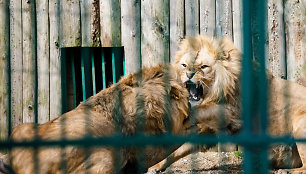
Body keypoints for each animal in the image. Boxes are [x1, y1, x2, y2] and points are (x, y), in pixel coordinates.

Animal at [148, 35, 306, 173]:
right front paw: (155, 166)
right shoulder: (208, 130)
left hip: (299, 123)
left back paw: (286, 170)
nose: (188, 74)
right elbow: (178, 151)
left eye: (203, 67)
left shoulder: (233, 114)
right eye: (184, 65)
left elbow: (203, 110)